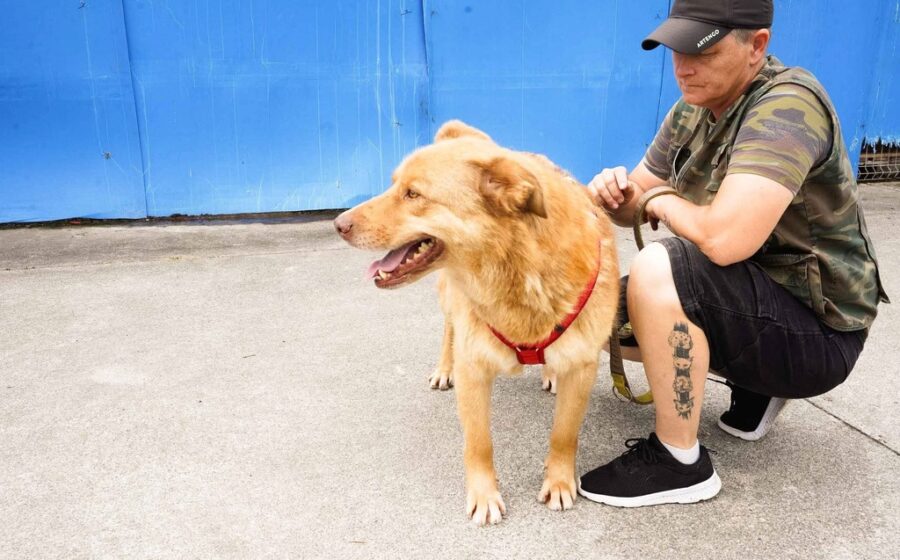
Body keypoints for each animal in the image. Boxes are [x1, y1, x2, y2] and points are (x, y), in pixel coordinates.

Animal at [334, 120, 619, 525]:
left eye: (413, 194)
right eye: (394, 185)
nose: (337, 224)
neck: (520, 271)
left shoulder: (582, 367)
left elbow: (564, 434)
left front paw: (559, 480)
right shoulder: (474, 368)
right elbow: (479, 442)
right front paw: (484, 495)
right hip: (448, 300)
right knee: (448, 330)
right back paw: (443, 368)